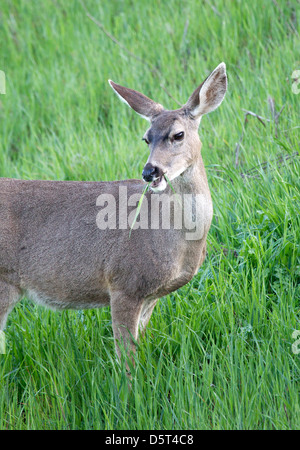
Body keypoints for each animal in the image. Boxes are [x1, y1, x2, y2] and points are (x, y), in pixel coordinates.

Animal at [0, 62, 226, 366]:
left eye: (178, 135)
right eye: (146, 138)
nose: (150, 171)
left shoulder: (150, 296)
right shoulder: (124, 284)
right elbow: (126, 361)